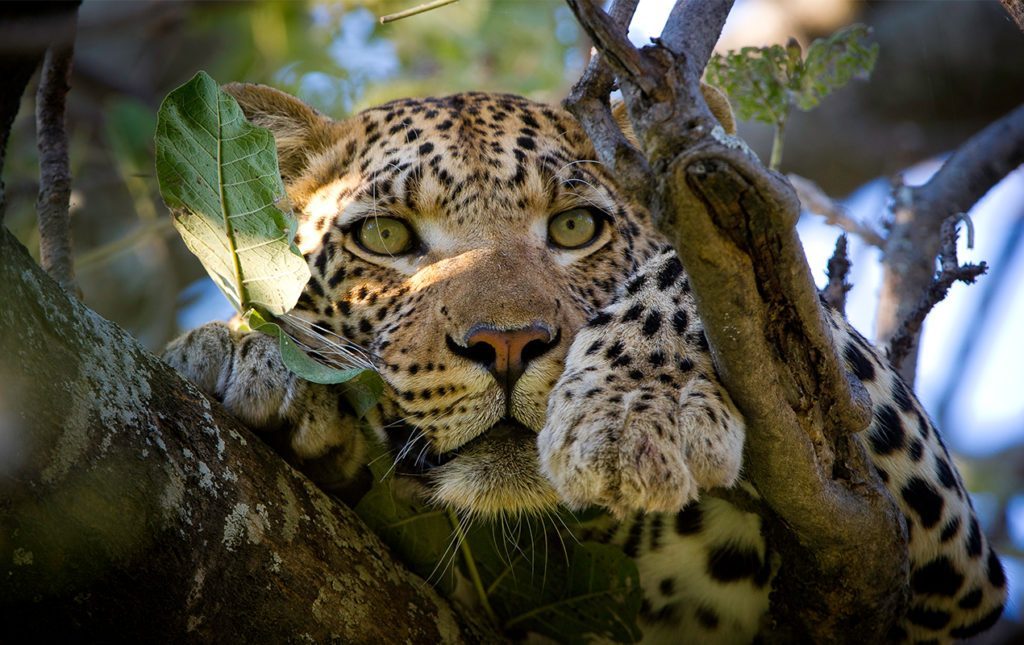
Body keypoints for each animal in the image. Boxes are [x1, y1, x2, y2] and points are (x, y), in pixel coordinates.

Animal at [163, 82, 1007, 643]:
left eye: (574, 228)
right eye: (384, 238)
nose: (506, 345)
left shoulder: (942, 549)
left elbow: (685, 267)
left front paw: (633, 412)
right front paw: (243, 348)